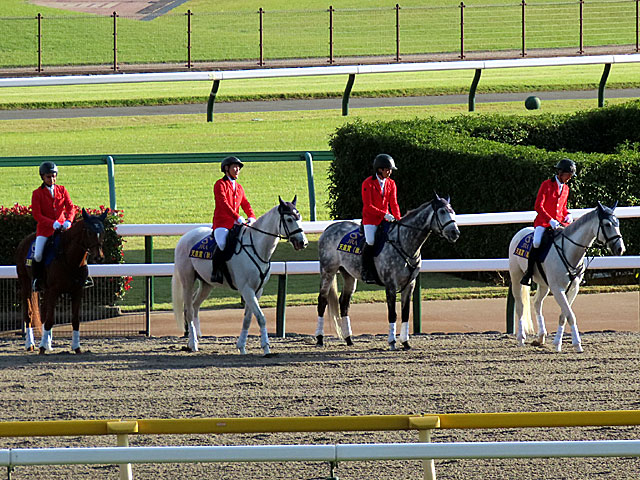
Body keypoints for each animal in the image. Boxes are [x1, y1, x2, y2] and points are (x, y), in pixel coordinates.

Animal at [15, 208, 108, 354]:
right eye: (89, 232)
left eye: (103, 231)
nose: (99, 257)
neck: (70, 260)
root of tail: (25, 240)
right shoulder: (54, 291)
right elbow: (50, 320)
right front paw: (42, 349)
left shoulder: (77, 291)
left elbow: (75, 320)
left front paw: (76, 348)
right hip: (26, 285)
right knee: (29, 314)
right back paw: (30, 344)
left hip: (46, 290)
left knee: (43, 314)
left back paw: (47, 343)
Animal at [172, 197, 308, 355]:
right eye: (289, 219)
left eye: (300, 218)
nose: (303, 242)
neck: (256, 247)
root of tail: (184, 238)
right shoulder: (246, 289)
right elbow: (261, 317)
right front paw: (266, 348)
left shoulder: (257, 290)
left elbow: (248, 319)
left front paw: (242, 347)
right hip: (188, 281)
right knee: (188, 310)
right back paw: (193, 343)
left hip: (206, 285)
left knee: (194, 307)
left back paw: (192, 341)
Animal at [315, 194, 460, 351]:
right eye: (442, 211)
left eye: (453, 211)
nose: (455, 233)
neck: (404, 243)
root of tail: (329, 228)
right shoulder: (390, 285)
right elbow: (393, 314)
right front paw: (392, 342)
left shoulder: (410, 285)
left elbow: (405, 313)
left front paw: (405, 342)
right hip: (328, 272)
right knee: (322, 301)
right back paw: (320, 338)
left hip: (349, 275)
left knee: (344, 303)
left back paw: (348, 339)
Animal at [508, 202, 625, 353]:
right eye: (607, 224)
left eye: (617, 223)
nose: (620, 249)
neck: (569, 251)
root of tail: (520, 233)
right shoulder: (558, 289)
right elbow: (570, 315)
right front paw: (577, 344)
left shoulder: (573, 289)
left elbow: (564, 315)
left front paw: (557, 343)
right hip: (516, 277)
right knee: (520, 306)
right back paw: (521, 338)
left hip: (544, 285)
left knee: (537, 303)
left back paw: (541, 337)